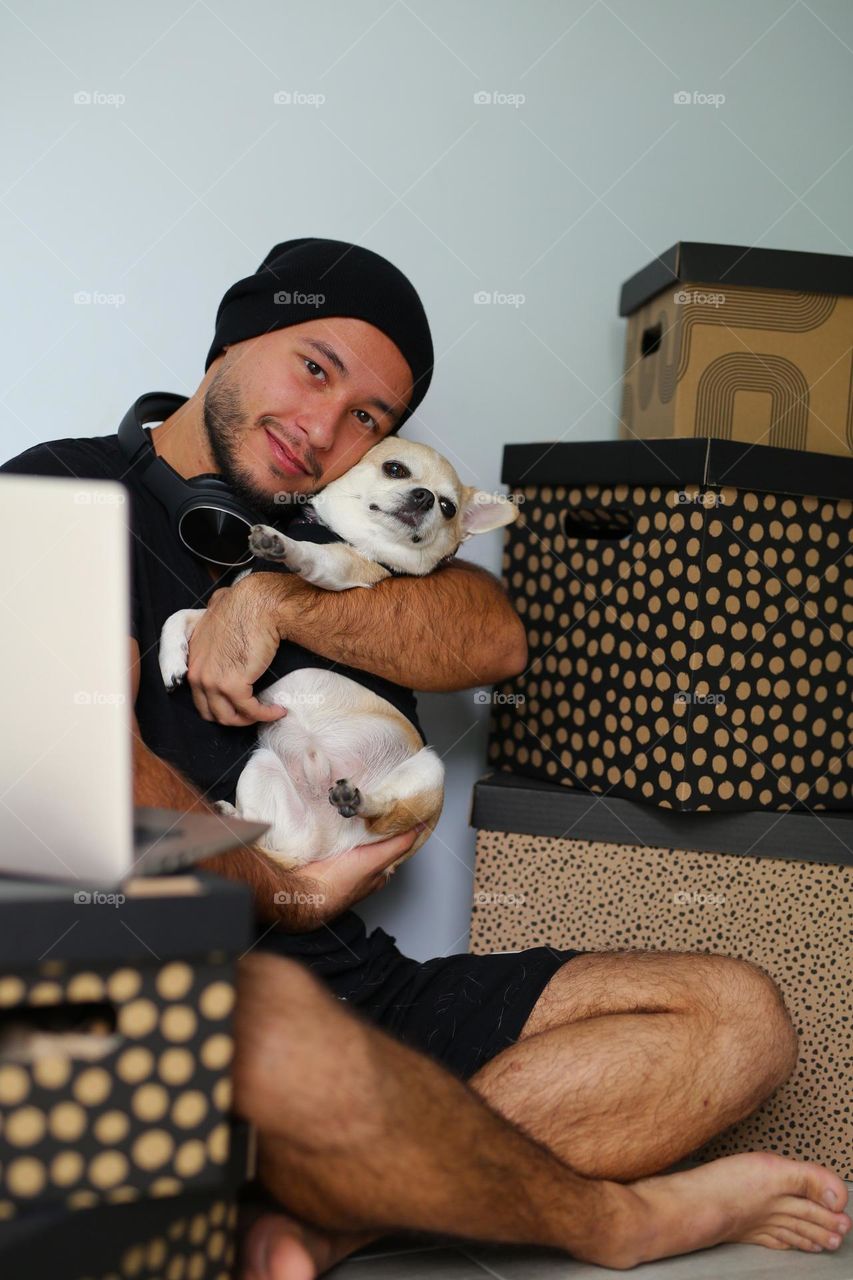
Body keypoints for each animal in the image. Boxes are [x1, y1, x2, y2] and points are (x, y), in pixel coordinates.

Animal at [158, 437, 517, 870]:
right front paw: (170, 659)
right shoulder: (220, 610)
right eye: (395, 469)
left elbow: (315, 557)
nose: (426, 497)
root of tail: (331, 843)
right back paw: (234, 819)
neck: (340, 534)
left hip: (428, 771)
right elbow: (180, 616)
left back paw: (359, 799)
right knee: (280, 841)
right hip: (262, 766)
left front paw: (286, 547)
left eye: (448, 507)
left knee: (383, 813)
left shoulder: (342, 568)